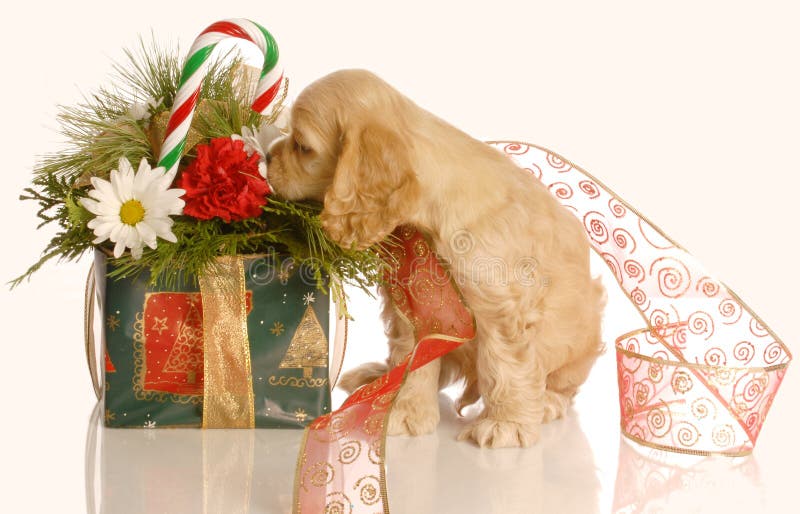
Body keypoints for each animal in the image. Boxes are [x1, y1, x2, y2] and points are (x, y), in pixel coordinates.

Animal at [266, 70, 604, 446]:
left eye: (302, 146)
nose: (266, 157)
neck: (425, 222)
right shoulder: (415, 307)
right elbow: (414, 359)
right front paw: (404, 411)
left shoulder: (502, 307)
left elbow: (506, 366)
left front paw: (506, 424)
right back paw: (378, 375)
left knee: (563, 385)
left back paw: (545, 402)